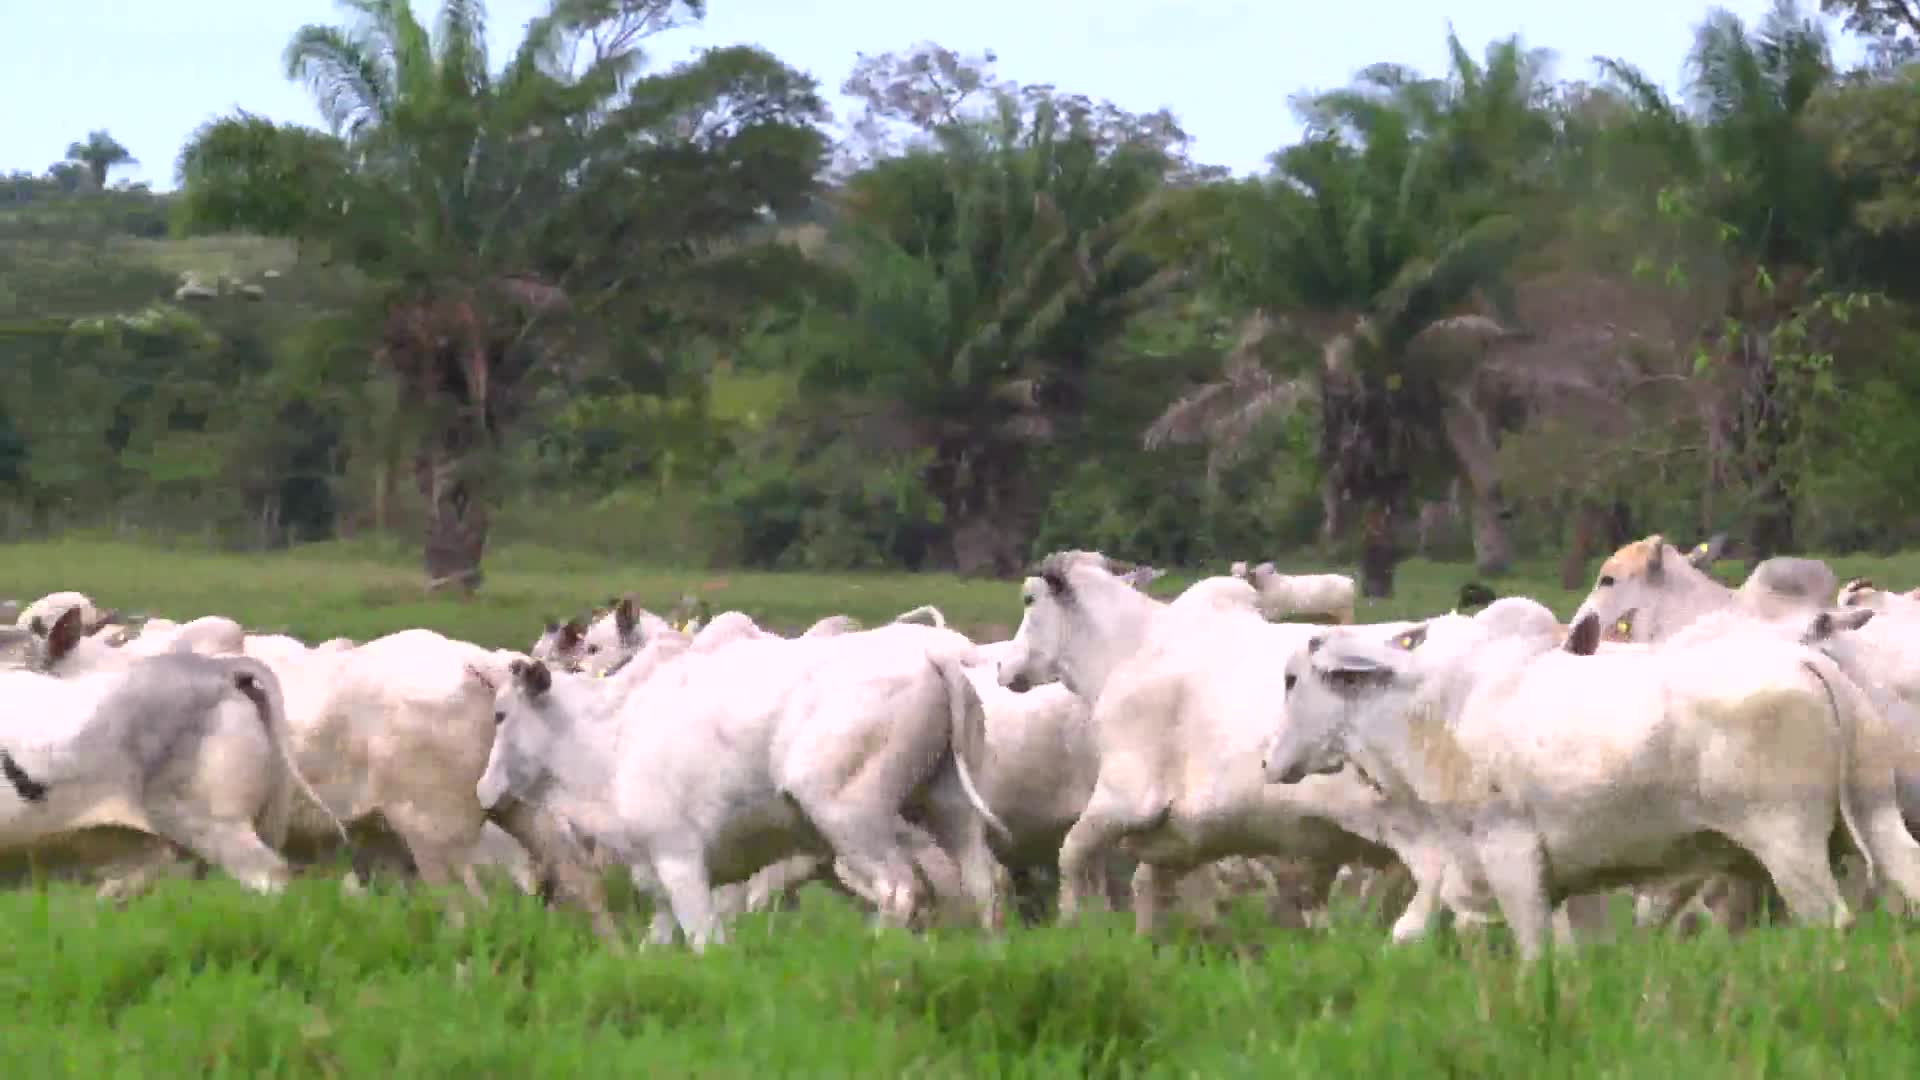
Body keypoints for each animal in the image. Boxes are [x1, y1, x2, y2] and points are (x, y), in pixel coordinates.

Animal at [1259, 599, 1920, 960]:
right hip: (1875, 814)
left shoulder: (1509, 853)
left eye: (1291, 679)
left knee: (1829, 922)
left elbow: (1533, 950)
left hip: (1787, 842)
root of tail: (1803, 659)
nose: (1268, 763)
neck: (1438, 712)